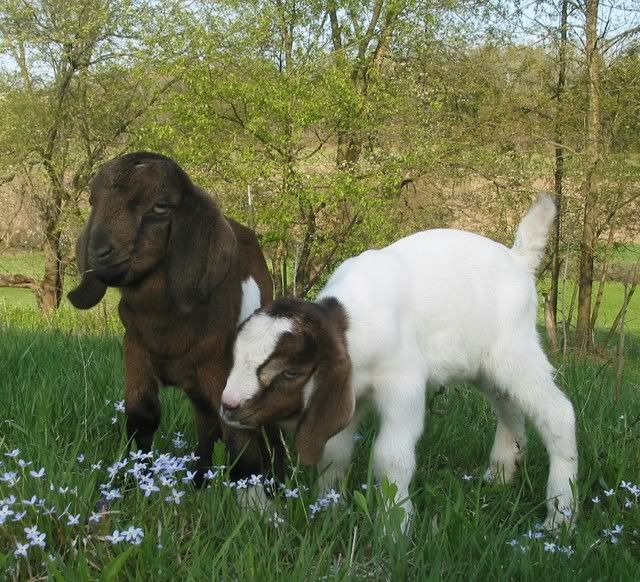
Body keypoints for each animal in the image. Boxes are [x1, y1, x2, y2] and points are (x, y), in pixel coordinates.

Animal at [69, 152, 282, 484]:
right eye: (93, 201)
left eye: (161, 206)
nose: (97, 252)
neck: (166, 328)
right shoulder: (135, 349)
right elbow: (142, 415)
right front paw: (136, 483)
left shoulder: (220, 365)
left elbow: (238, 435)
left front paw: (252, 493)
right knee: (206, 421)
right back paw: (200, 479)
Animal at [219, 195, 578, 530]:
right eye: (235, 357)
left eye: (291, 372)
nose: (228, 406)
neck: (351, 323)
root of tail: (519, 260)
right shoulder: (348, 392)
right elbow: (334, 453)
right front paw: (329, 511)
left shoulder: (402, 383)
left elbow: (391, 458)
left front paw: (394, 529)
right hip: (489, 367)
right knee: (509, 406)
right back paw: (500, 476)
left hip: (515, 350)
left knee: (557, 414)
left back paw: (559, 518)